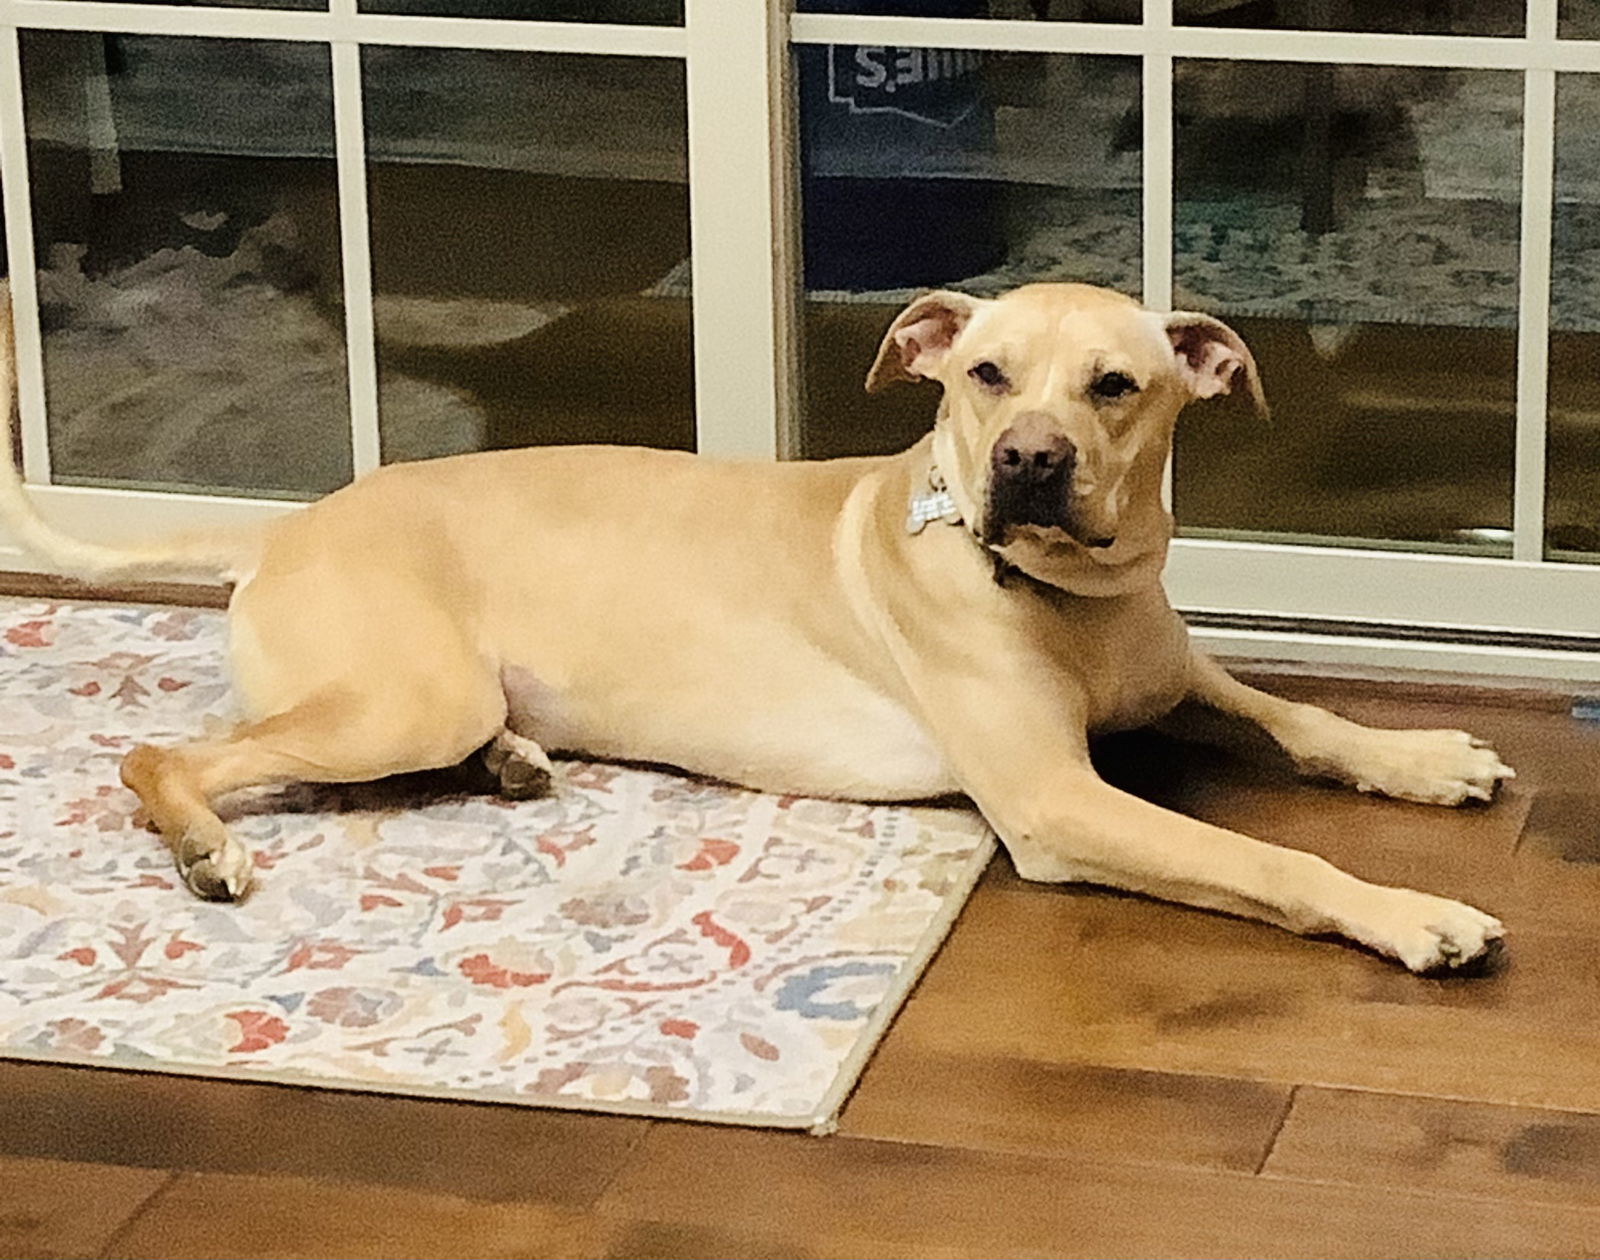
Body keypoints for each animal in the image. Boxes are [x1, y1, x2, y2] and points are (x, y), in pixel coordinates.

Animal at [0, 283, 1510, 972]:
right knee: (166, 757)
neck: (1069, 598)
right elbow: (1269, 860)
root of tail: (286, 523)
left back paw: (511, 763)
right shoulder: (1056, 803)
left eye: (1116, 387)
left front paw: (1426, 757)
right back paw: (203, 846)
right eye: (984, 376)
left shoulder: (1174, 667)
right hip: (396, 696)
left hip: (420, 702)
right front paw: (1414, 912)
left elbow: (1302, 714)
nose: (1026, 463)